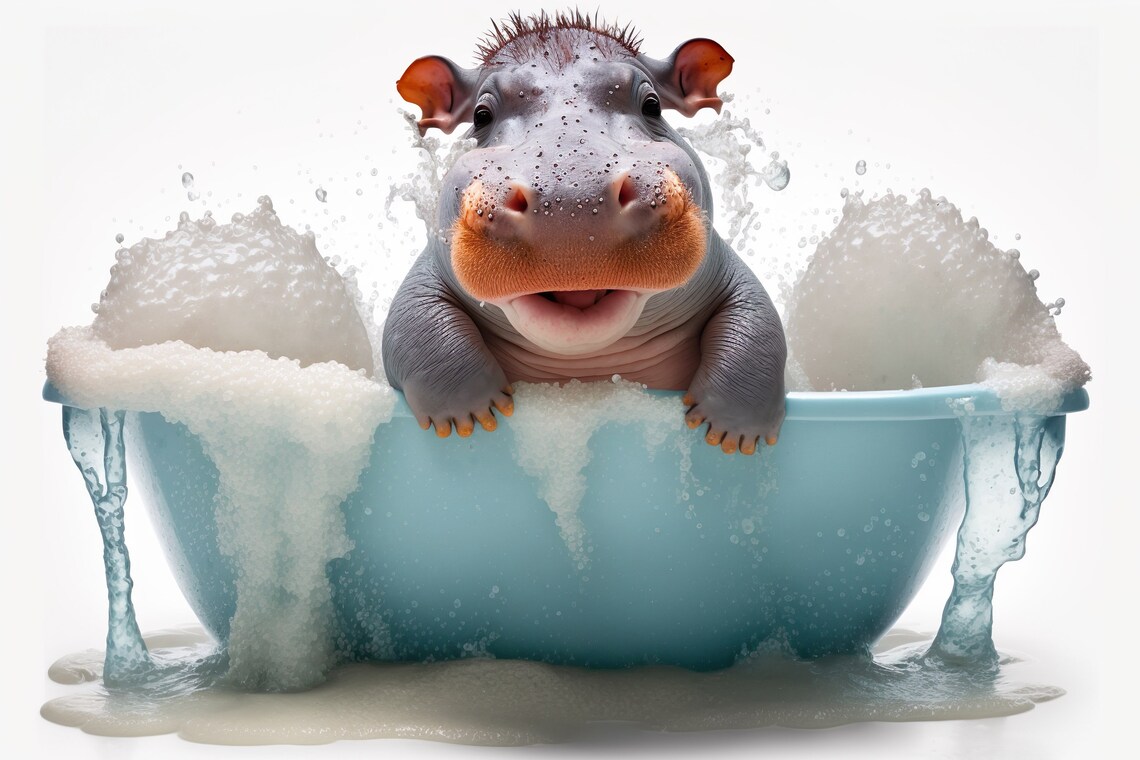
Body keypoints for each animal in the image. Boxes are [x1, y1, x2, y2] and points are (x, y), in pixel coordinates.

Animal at [382, 10, 786, 455]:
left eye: (652, 105)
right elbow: (417, 324)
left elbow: (755, 325)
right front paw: (469, 416)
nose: (572, 200)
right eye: (480, 115)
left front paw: (729, 433)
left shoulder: (725, 269)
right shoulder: (428, 273)